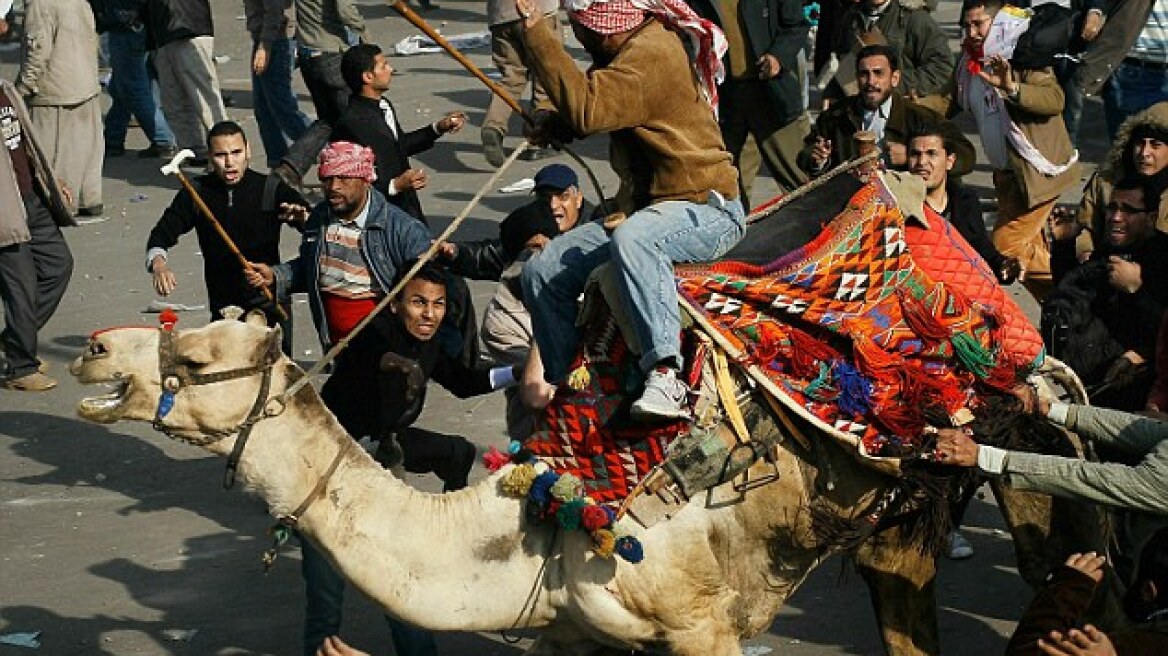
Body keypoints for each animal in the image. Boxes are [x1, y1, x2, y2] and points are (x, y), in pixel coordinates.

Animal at [70, 312, 1093, 653]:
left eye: (196, 357)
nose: (95, 348)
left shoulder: (701, 626)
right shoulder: (573, 632)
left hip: (1024, 448)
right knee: (900, 579)